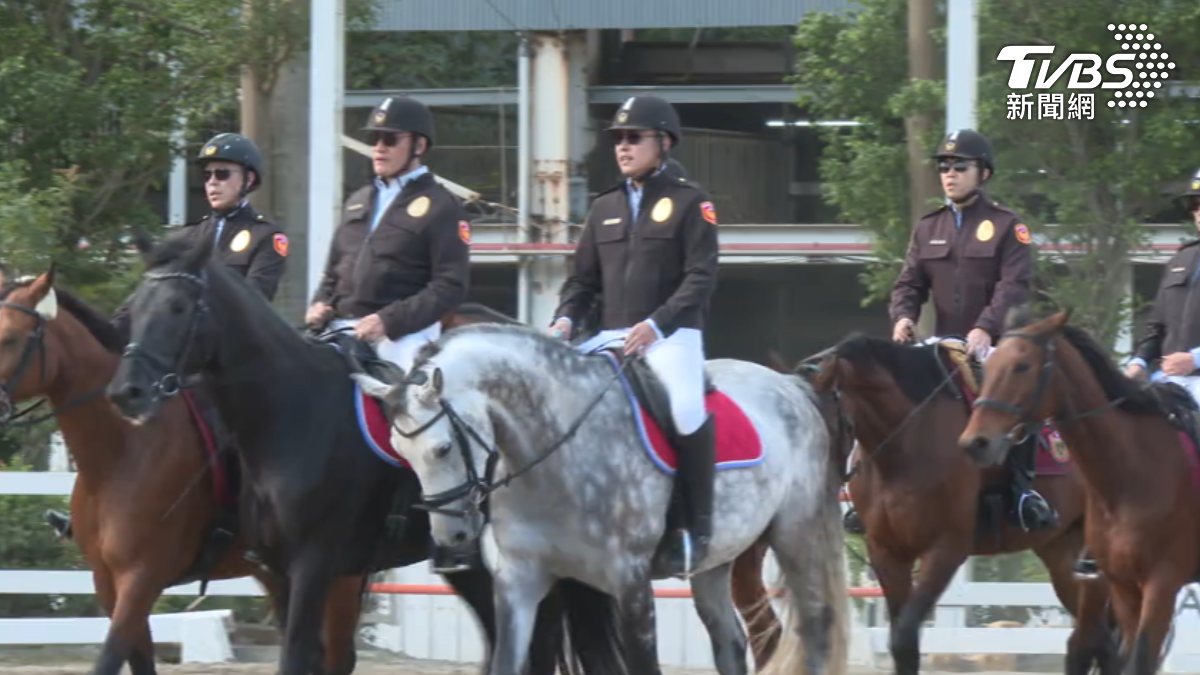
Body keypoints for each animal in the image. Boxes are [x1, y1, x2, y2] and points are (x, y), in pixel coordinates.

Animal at [0, 268, 367, 675]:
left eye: (10, 338)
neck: (124, 451)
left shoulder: (141, 579)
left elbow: (108, 659)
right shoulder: (108, 583)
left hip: (337, 573)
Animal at [103, 234, 578, 675]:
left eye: (179, 307)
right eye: (132, 307)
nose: (127, 391)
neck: (291, 413)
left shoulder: (313, 564)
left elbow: (296, 655)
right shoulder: (279, 569)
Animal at [352, 322, 850, 675]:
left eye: (442, 448)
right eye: (400, 454)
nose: (452, 538)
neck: (555, 451)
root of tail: (790, 387)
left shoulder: (630, 582)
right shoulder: (520, 579)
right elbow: (508, 662)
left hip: (797, 532)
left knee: (817, 626)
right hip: (717, 559)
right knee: (730, 641)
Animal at [960, 309, 1200, 675]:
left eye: (1022, 366)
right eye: (988, 366)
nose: (976, 443)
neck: (1133, 473)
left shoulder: (1163, 582)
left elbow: (1139, 659)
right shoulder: (1123, 585)